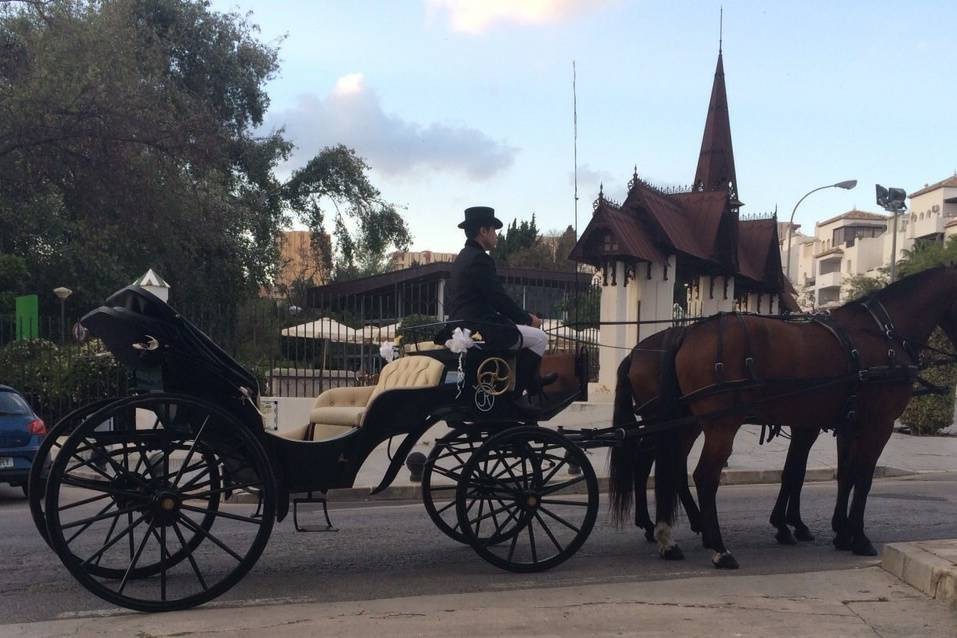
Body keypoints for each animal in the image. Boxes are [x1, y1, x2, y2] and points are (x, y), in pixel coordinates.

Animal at [612, 266, 956, 568]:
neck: (881, 335)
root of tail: (687, 335)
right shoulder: (876, 425)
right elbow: (858, 477)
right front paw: (854, 537)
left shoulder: (845, 424)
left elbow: (831, 474)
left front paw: (835, 531)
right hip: (719, 424)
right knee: (702, 475)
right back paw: (718, 548)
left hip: (687, 423)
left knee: (669, 466)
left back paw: (668, 536)